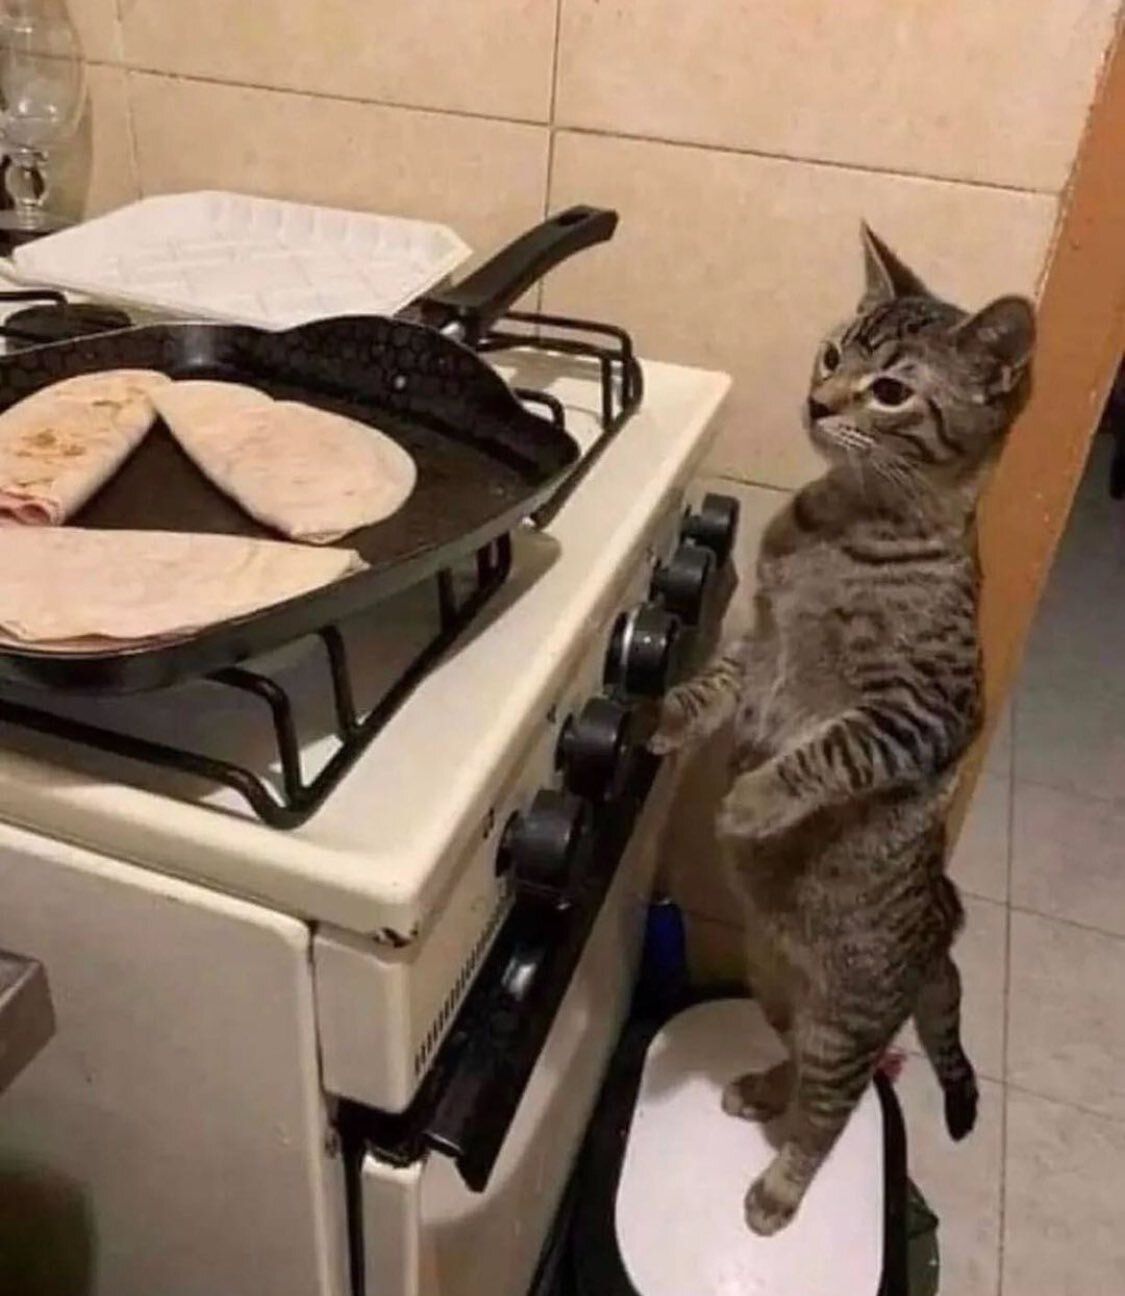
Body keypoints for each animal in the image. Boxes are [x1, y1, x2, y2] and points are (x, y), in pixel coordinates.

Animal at [652, 227, 1034, 1236]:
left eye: (890, 389)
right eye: (833, 354)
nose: (817, 401)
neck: (841, 522)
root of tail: (939, 931)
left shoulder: (915, 715)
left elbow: (823, 751)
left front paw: (750, 800)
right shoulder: (758, 645)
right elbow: (717, 687)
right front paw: (663, 715)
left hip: (845, 1022)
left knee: (836, 1106)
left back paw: (778, 1189)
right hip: (775, 983)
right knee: (799, 1068)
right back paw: (758, 1088)